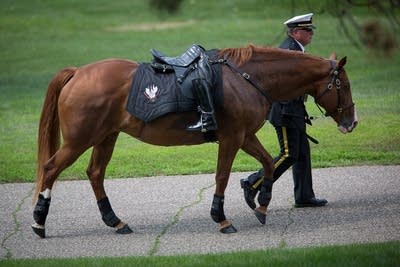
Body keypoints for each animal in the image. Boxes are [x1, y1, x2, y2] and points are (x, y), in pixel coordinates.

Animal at [30, 44, 356, 239]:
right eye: (344, 84)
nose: (352, 122)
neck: (246, 78)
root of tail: (78, 72)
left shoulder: (245, 136)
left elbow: (266, 162)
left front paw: (261, 203)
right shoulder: (232, 138)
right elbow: (222, 176)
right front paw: (221, 217)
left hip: (105, 137)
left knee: (95, 173)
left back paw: (115, 221)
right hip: (80, 140)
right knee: (50, 169)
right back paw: (39, 221)